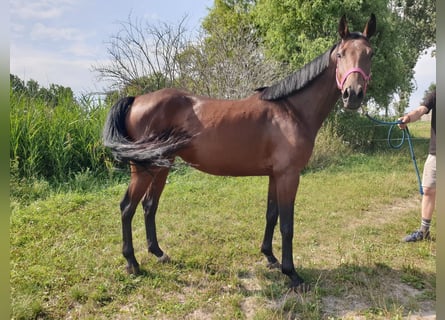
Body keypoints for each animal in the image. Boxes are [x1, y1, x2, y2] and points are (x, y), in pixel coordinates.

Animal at [103, 14, 374, 290]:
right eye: (340, 54)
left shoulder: (275, 175)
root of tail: (136, 99)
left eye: (370, 54)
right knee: (127, 207)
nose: (353, 94)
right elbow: (287, 225)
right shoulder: (289, 175)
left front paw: (270, 257)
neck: (291, 111)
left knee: (149, 205)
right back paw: (132, 263)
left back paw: (158, 253)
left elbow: (271, 215)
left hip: (161, 165)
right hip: (143, 168)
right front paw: (292, 274)